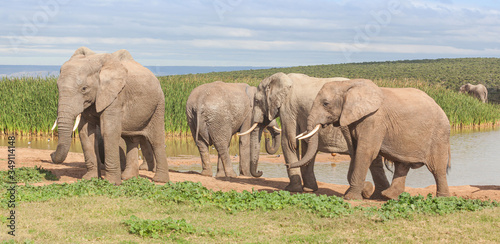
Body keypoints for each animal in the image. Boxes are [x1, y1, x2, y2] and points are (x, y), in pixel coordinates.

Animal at [50, 46, 170, 185]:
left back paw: (159, 180)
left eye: (84, 89)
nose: (51, 154)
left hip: (159, 104)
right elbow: (85, 132)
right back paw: (128, 177)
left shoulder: (116, 95)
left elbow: (109, 131)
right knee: (131, 139)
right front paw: (89, 178)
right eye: (57, 87)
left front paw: (111, 183)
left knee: (156, 140)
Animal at [238, 72, 390, 196]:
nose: (260, 172)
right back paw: (375, 192)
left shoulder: (288, 109)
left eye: (257, 101)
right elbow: (306, 148)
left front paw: (291, 189)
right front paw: (309, 189)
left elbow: (289, 142)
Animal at [292, 79, 454, 199]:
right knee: (402, 164)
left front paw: (350, 197)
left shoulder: (374, 119)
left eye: (326, 103)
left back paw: (442, 199)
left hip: (439, 134)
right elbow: (357, 152)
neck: (348, 84)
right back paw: (388, 196)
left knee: (437, 168)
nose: (288, 165)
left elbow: (365, 152)